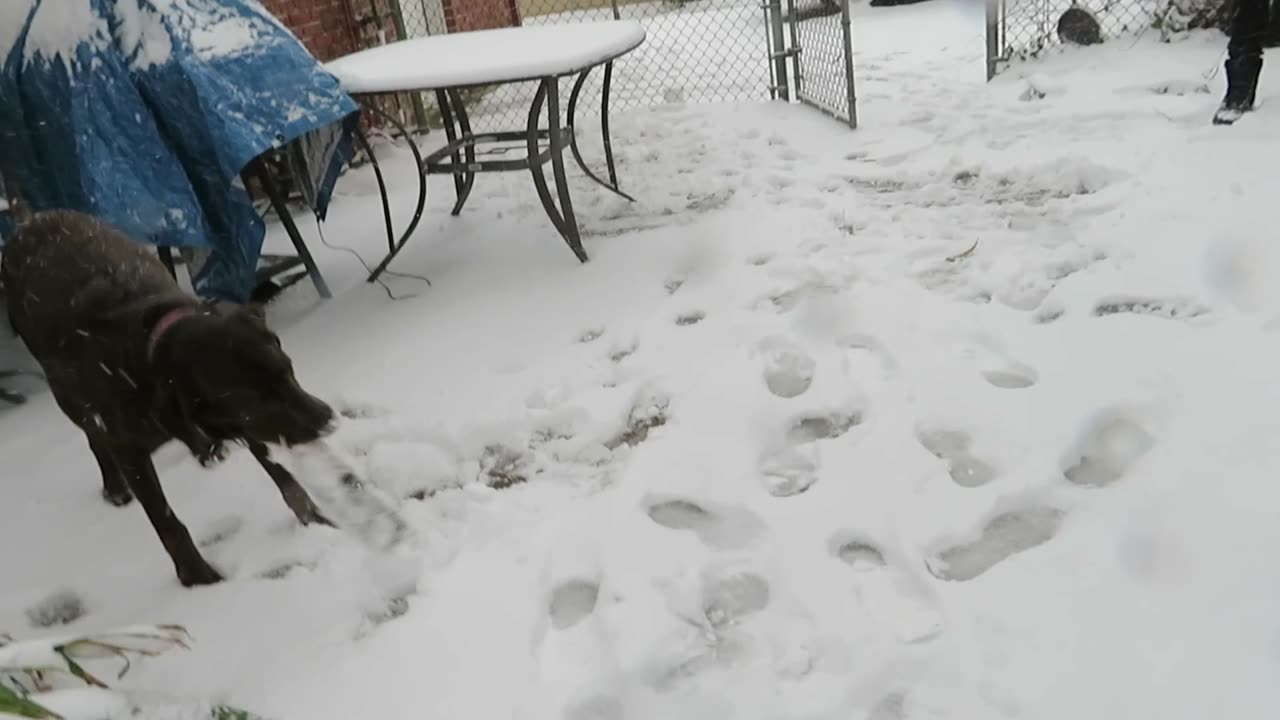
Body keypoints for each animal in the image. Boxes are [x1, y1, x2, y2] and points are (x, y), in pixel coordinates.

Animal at [1, 207, 340, 584]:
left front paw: (317, 522)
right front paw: (198, 578)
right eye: (255, 400)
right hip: (66, 395)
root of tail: (30, 219)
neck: (148, 356)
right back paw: (115, 486)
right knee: (92, 436)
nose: (327, 420)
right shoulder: (130, 449)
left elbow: (284, 476)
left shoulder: (240, 423)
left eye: (288, 370)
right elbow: (167, 523)